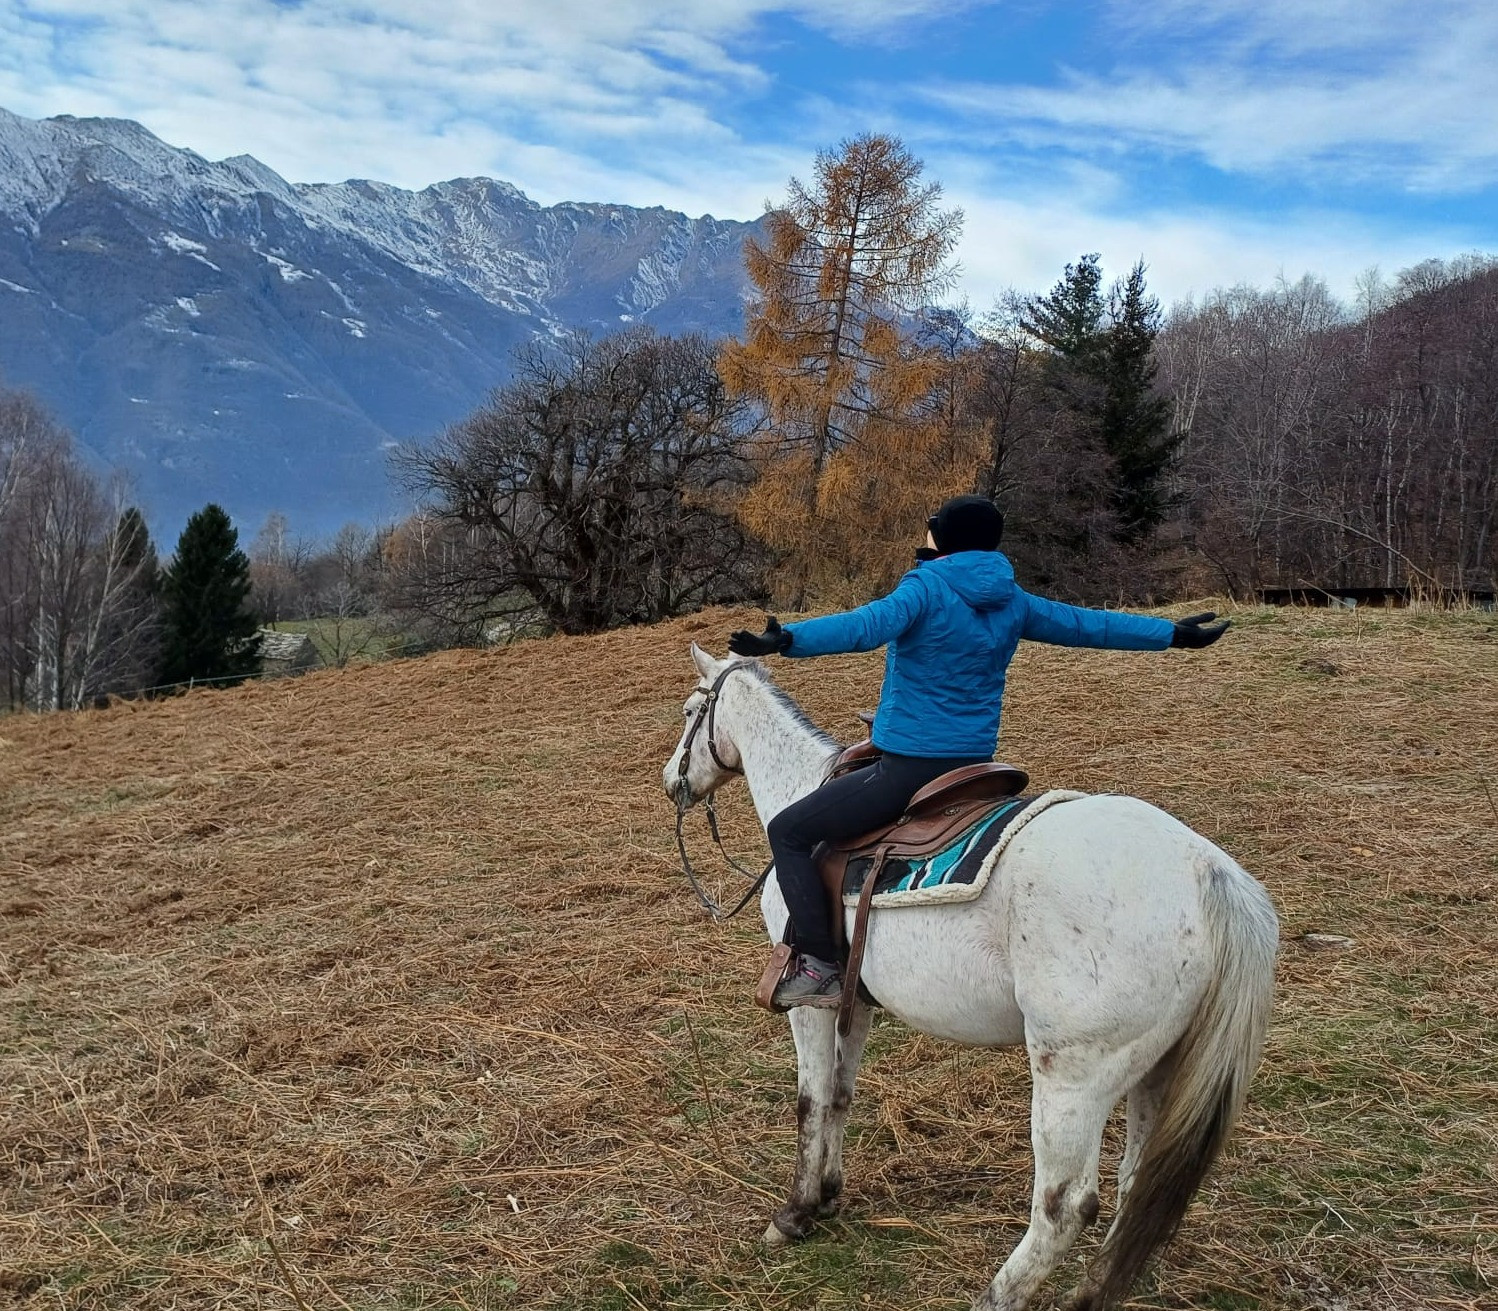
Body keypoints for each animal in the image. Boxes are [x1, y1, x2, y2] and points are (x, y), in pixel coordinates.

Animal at [662, 645, 1279, 1311]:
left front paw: (795, 1213)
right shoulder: (856, 1002)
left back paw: (1000, 1295)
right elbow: (842, 1095)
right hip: (1158, 1067)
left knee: (1063, 1206)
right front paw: (827, 1194)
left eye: (691, 711)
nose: (672, 782)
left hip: (1074, 1077)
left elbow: (811, 1099)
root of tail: (1207, 871)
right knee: (1133, 1183)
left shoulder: (811, 1005)